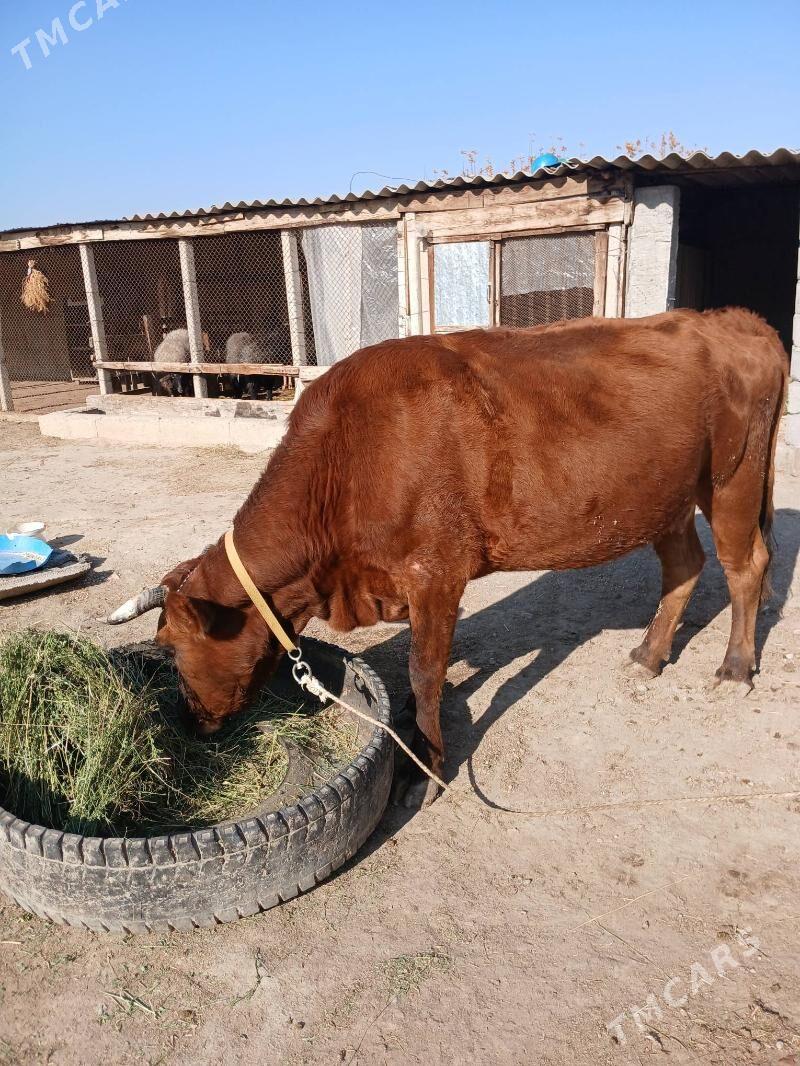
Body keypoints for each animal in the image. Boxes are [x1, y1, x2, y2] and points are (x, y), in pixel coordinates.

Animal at [109, 308, 787, 807]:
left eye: (171, 647)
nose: (188, 721)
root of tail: (737, 320)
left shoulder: (437, 572)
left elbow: (425, 669)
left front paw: (426, 768)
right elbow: (422, 668)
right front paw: (412, 731)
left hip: (733, 475)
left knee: (744, 566)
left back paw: (734, 668)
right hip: (664, 495)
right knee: (684, 565)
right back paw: (649, 654)